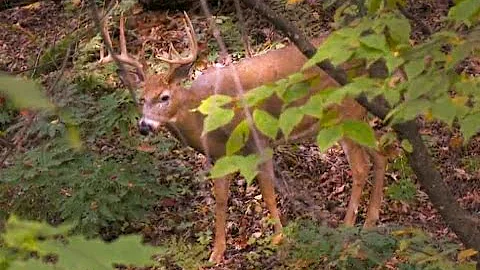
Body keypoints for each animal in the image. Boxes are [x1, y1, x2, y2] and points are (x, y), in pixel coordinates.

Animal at [97, 11, 386, 262]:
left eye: (164, 97)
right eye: (142, 99)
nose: (144, 126)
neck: (205, 118)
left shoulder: (259, 142)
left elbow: (268, 191)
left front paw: (279, 239)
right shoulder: (219, 157)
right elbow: (221, 200)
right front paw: (216, 253)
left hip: (343, 113)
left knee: (361, 166)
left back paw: (347, 229)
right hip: (358, 116)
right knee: (382, 153)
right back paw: (370, 222)